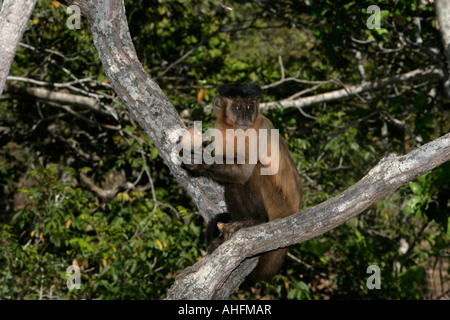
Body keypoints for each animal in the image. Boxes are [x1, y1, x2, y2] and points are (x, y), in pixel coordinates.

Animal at [180, 82, 302, 280]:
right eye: (238, 107)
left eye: (250, 107)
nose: (245, 116)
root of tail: (294, 211)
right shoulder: (219, 130)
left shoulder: (259, 128)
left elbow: (244, 172)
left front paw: (200, 161)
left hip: (278, 205)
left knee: (254, 171)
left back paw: (257, 221)